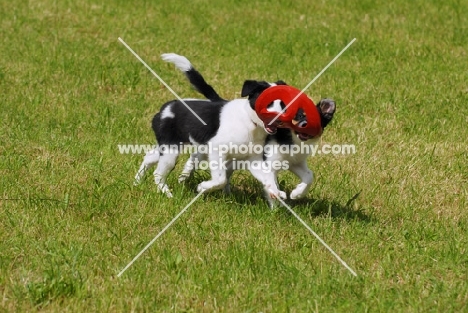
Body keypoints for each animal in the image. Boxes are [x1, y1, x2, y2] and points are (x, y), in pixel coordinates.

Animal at [133, 54, 288, 200]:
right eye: (267, 102)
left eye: (284, 104)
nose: (280, 119)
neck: (250, 121)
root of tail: (165, 109)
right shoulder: (216, 149)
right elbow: (220, 179)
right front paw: (202, 187)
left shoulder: (253, 159)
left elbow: (268, 178)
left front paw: (276, 192)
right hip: (171, 150)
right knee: (158, 173)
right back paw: (167, 194)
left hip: (168, 146)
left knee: (149, 157)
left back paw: (137, 182)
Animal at [163, 52, 334, 199]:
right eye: (299, 115)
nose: (305, 125)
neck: (293, 139)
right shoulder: (269, 161)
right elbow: (271, 185)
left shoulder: (295, 162)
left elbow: (309, 176)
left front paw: (297, 194)